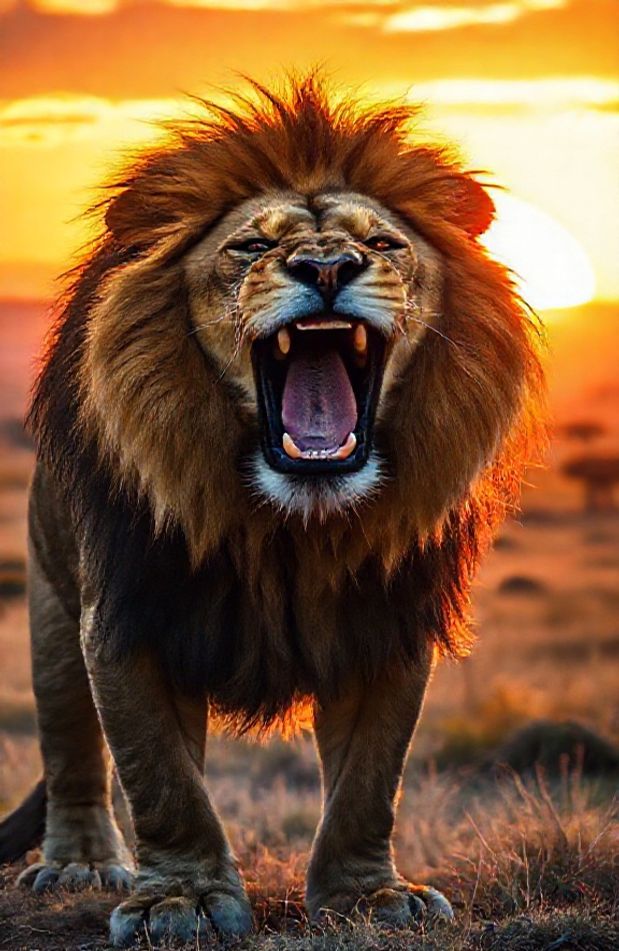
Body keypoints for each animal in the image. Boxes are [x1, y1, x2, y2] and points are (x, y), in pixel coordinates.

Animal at [0, 76, 544, 946]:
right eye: (250, 246)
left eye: (382, 243)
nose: (326, 266)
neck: (289, 527)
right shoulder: (125, 613)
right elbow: (161, 780)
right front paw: (179, 901)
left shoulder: (389, 620)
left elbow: (369, 781)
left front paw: (369, 896)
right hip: (51, 597)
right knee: (72, 743)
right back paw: (81, 860)